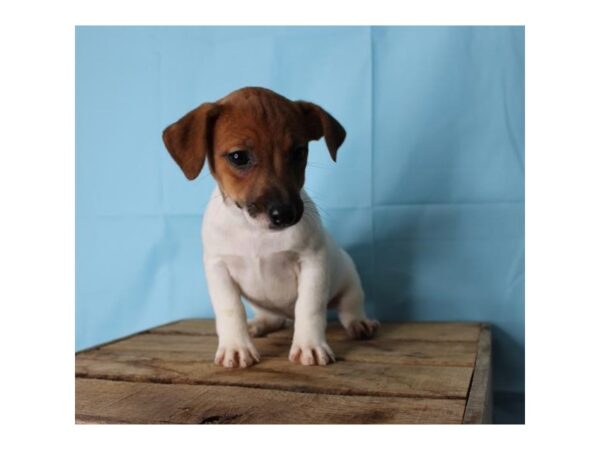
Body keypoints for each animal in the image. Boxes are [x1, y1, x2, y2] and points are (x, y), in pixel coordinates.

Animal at [163, 86, 380, 368]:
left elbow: (309, 308)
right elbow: (230, 309)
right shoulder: (218, 269)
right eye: (238, 157)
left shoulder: (313, 263)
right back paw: (258, 324)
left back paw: (360, 323)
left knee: (349, 307)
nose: (285, 214)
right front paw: (236, 346)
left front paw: (309, 345)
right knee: (272, 317)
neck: (255, 232)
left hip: (349, 280)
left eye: (299, 152)